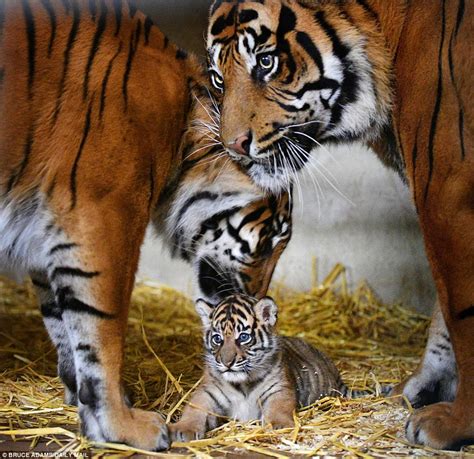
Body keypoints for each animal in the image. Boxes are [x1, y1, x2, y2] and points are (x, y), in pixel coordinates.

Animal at [0, 0, 290, 452]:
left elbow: (65, 324)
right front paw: (119, 425)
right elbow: (101, 331)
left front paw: (82, 395)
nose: (263, 303)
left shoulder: (46, 231)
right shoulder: (103, 216)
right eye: (270, 241)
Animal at [207, 0, 474, 452]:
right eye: (217, 76)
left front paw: (455, 422)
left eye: (265, 62)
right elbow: (444, 317)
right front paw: (419, 389)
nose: (233, 148)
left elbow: (461, 316)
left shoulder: (448, 192)